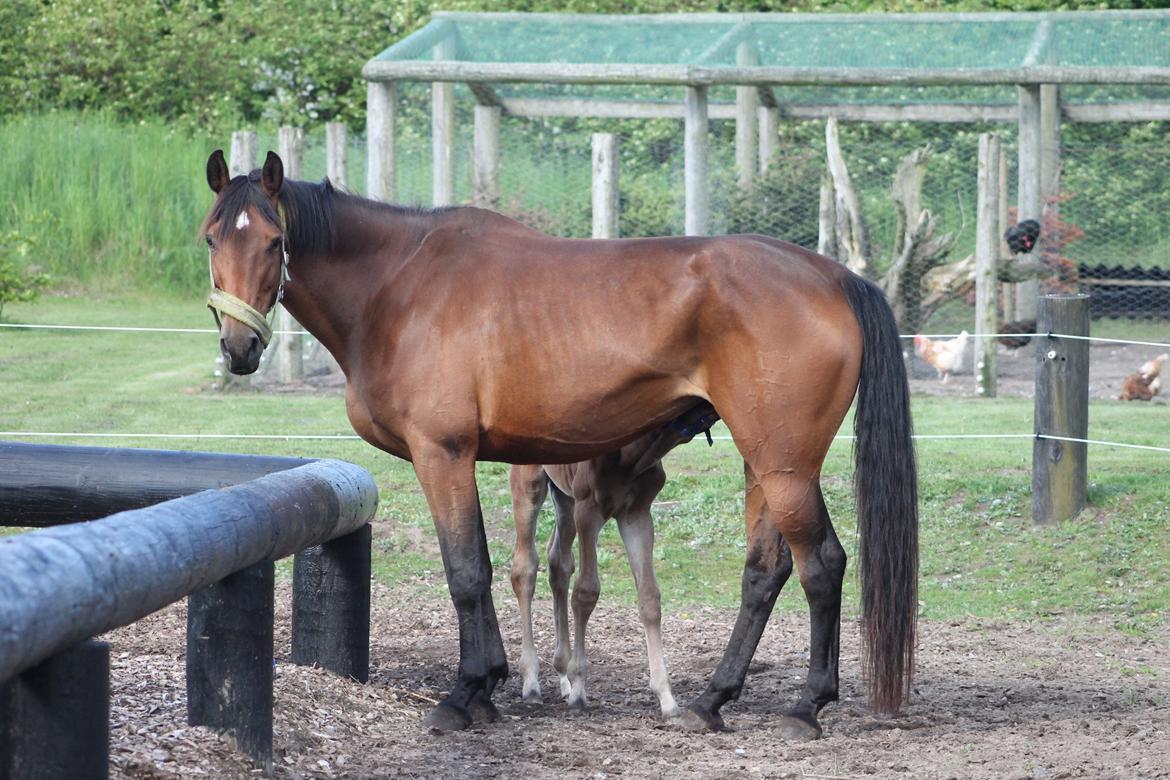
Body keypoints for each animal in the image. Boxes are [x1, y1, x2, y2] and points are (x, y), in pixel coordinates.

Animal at [510, 402, 716, 720]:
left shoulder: (636, 513)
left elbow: (649, 597)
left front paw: (667, 698)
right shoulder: (588, 507)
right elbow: (586, 592)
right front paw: (580, 690)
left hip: (564, 496)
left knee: (558, 562)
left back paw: (562, 675)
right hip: (532, 480)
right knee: (525, 568)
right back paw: (532, 683)